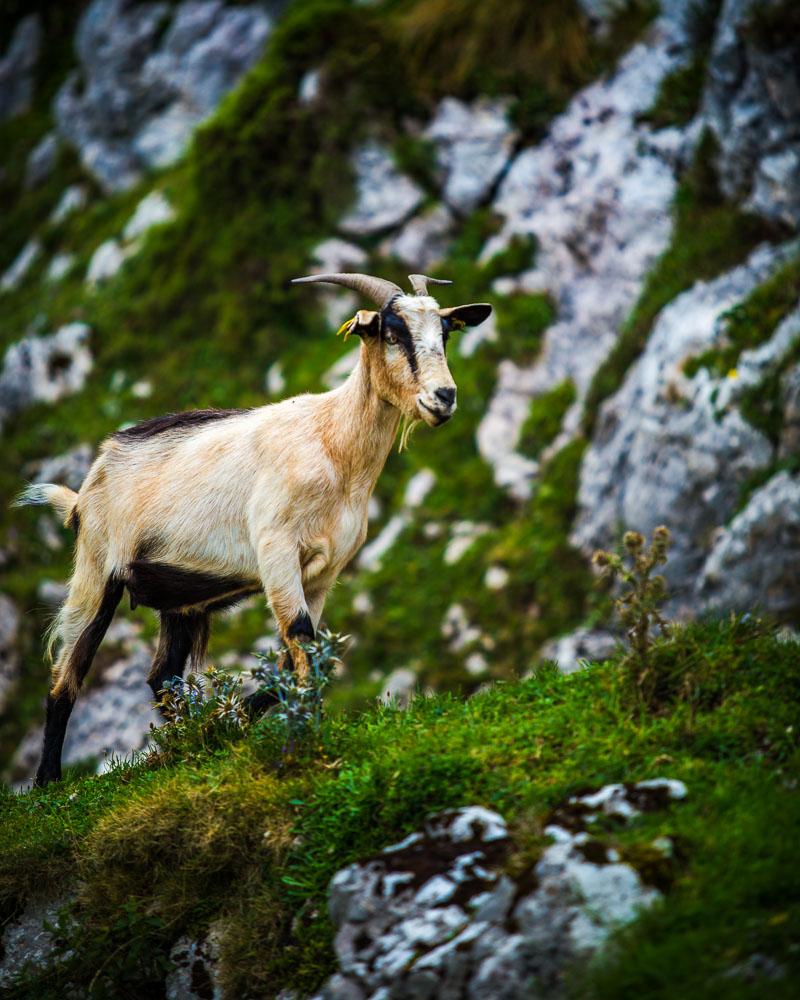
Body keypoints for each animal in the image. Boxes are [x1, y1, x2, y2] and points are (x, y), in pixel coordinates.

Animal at [17, 272, 494, 780]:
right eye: (392, 333)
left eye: (445, 334)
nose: (444, 397)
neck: (333, 446)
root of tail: (83, 492)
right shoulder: (276, 550)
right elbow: (301, 639)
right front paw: (301, 738)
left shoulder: (324, 573)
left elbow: (303, 656)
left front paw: (233, 723)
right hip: (95, 569)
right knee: (65, 677)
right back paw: (49, 782)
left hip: (179, 597)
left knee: (162, 675)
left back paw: (190, 740)